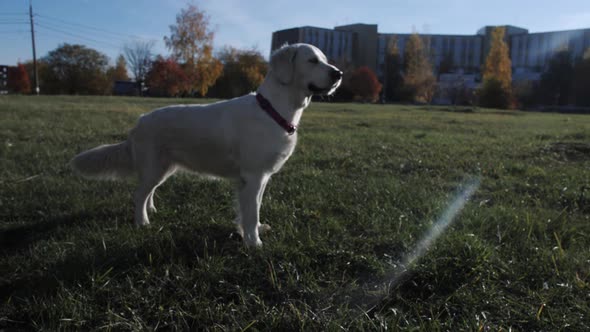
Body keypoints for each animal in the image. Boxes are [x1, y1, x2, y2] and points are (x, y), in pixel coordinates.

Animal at [71, 43, 344, 246]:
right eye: (312, 61)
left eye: (324, 59)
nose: (339, 74)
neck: (273, 110)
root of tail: (138, 122)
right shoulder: (254, 175)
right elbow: (251, 212)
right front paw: (254, 244)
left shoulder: (259, 178)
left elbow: (251, 210)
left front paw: (251, 232)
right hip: (154, 167)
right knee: (138, 195)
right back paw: (143, 223)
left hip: (163, 169)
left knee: (148, 192)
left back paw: (152, 210)